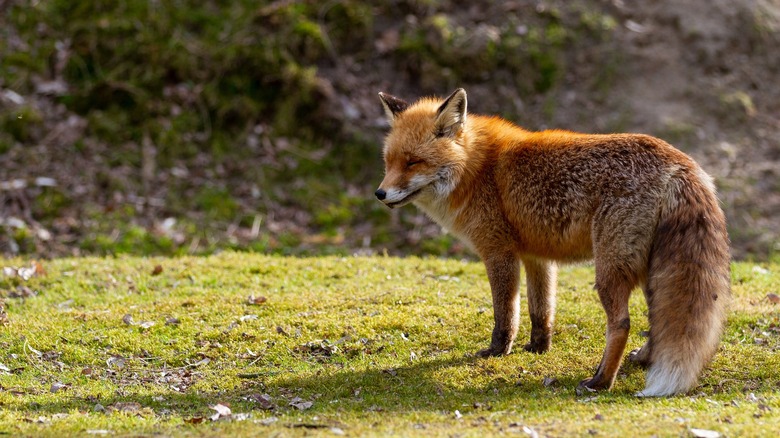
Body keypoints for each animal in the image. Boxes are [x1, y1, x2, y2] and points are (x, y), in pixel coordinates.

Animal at [376, 88, 732, 396]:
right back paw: (643, 359)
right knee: (658, 320)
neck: (475, 169)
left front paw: (497, 350)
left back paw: (601, 381)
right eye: (389, 162)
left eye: (412, 162)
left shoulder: (499, 252)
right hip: (650, 270)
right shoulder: (537, 256)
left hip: (610, 269)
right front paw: (538, 348)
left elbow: (505, 313)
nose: (380, 193)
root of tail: (680, 162)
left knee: (621, 323)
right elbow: (541, 310)